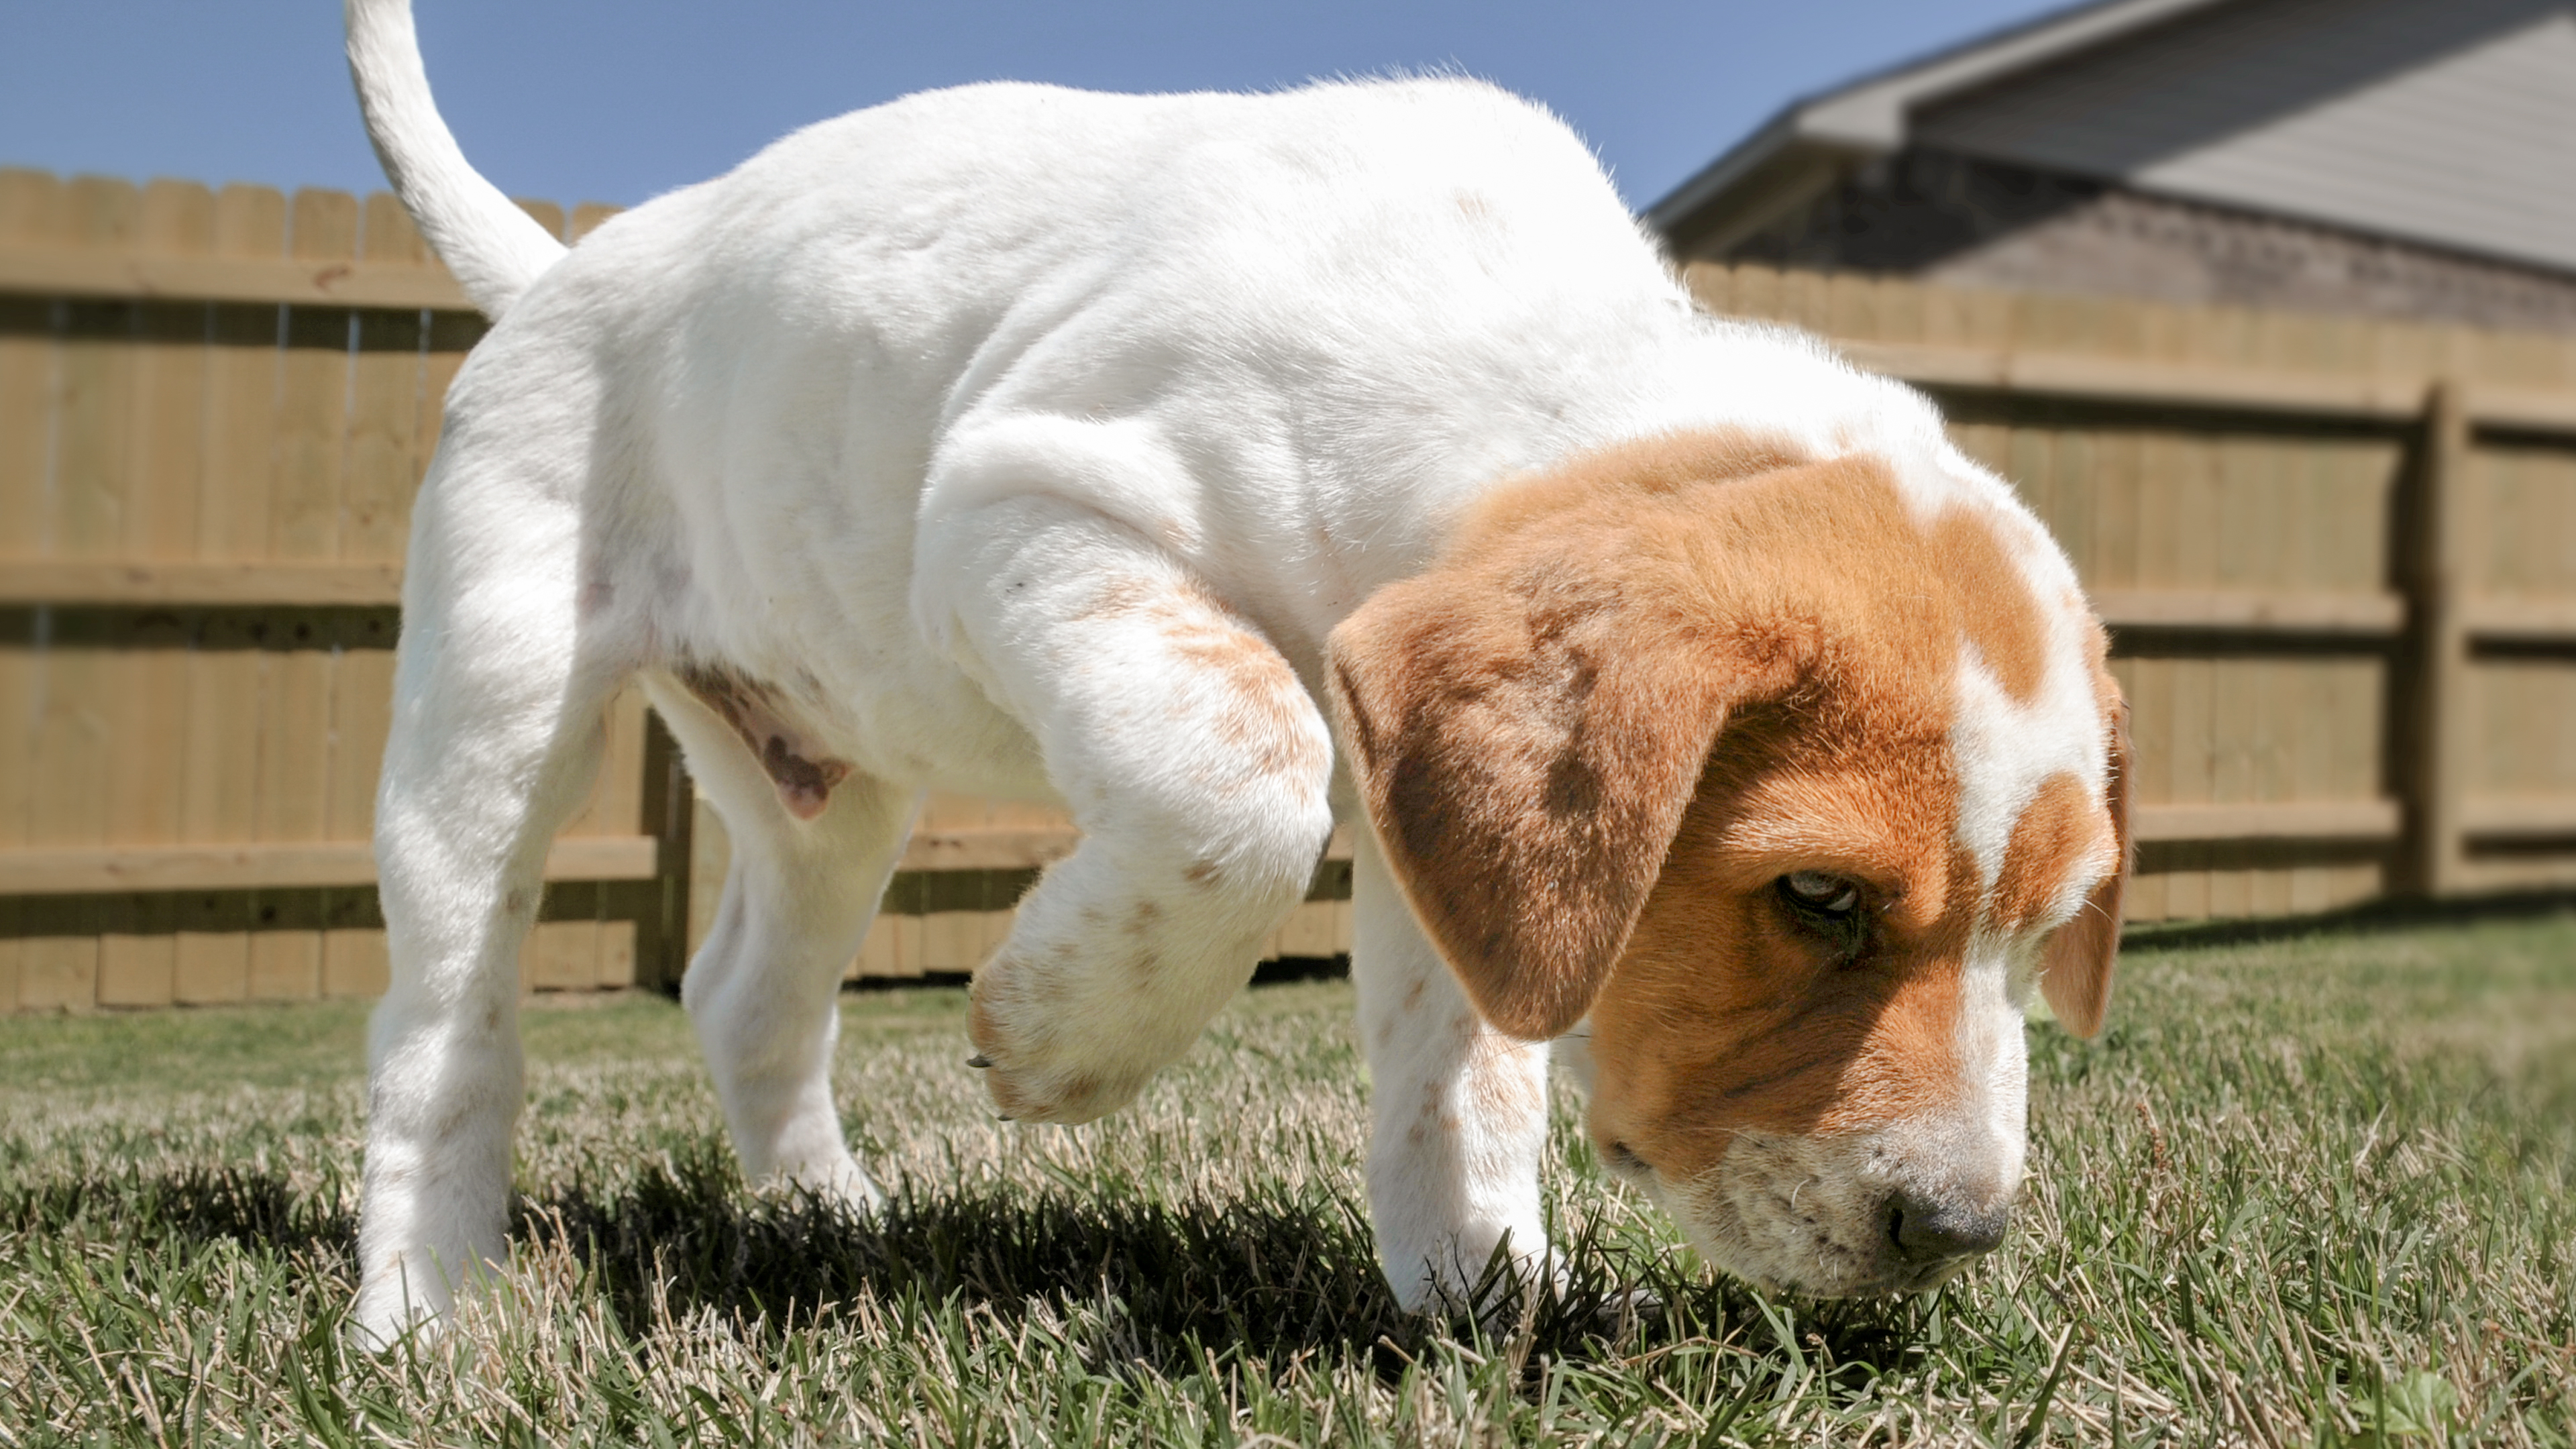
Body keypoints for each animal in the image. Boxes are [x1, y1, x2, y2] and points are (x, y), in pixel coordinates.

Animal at [353, 0, 2123, 1340]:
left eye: (2044, 929)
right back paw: (427, 1310)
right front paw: (1058, 1036)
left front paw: (1482, 1291)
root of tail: (558, 274)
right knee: (445, 1029)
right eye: (1816, 899)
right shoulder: (1036, 504)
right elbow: (1244, 783)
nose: (1960, 1233)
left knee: (744, 996)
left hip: (825, 787)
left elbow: (1458, 1063)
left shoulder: (1437, 809)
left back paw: (829, 1226)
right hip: (494, 708)